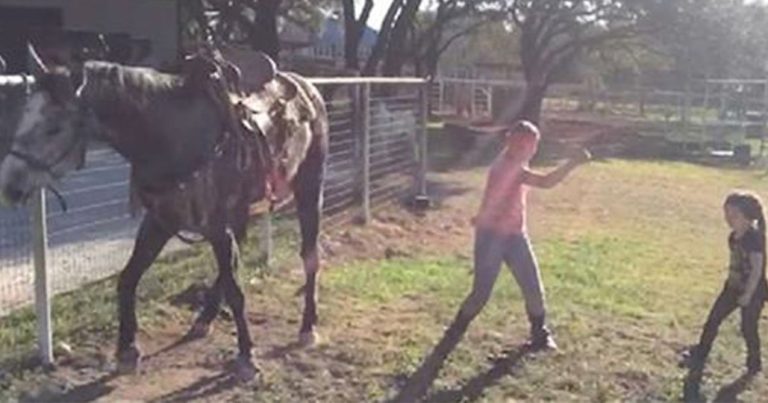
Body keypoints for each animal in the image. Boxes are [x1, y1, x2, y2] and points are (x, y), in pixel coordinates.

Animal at [0, 45, 328, 382]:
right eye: (23, 118)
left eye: (53, 128)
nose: (10, 186)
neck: (172, 138)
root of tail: (306, 86)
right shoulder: (160, 222)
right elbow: (128, 278)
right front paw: (127, 351)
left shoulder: (216, 227)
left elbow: (236, 291)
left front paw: (247, 357)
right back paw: (203, 320)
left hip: (309, 187)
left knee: (309, 256)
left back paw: (307, 328)